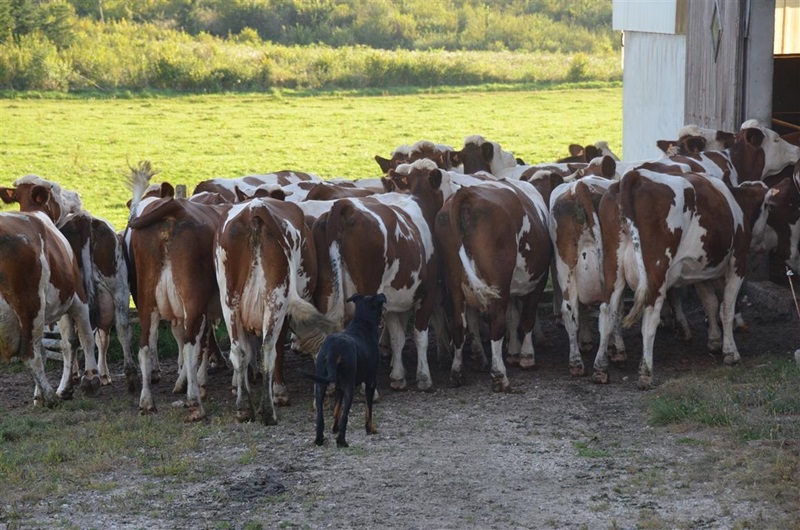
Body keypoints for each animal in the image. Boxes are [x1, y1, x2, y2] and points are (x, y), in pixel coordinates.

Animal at [0, 177, 101, 404]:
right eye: (57, 188)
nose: (77, 195)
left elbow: (51, 347)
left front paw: (39, 394)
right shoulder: (76, 296)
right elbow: (81, 337)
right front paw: (90, 378)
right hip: (30, 304)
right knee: (29, 353)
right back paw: (50, 397)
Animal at [302, 292, 386, 446]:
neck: (362, 324)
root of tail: (333, 349)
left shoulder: (339, 387)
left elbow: (336, 410)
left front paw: (334, 428)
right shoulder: (370, 382)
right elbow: (368, 410)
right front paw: (370, 429)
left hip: (320, 385)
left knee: (320, 417)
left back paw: (319, 439)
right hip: (349, 387)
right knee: (345, 417)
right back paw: (342, 441)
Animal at [592, 169, 768, 388]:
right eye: (768, 207)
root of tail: (636, 176)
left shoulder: (700, 272)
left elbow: (710, 303)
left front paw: (714, 341)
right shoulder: (738, 263)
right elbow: (726, 308)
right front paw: (730, 352)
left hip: (612, 268)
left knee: (607, 312)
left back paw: (600, 368)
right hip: (656, 270)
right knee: (649, 317)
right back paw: (645, 373)